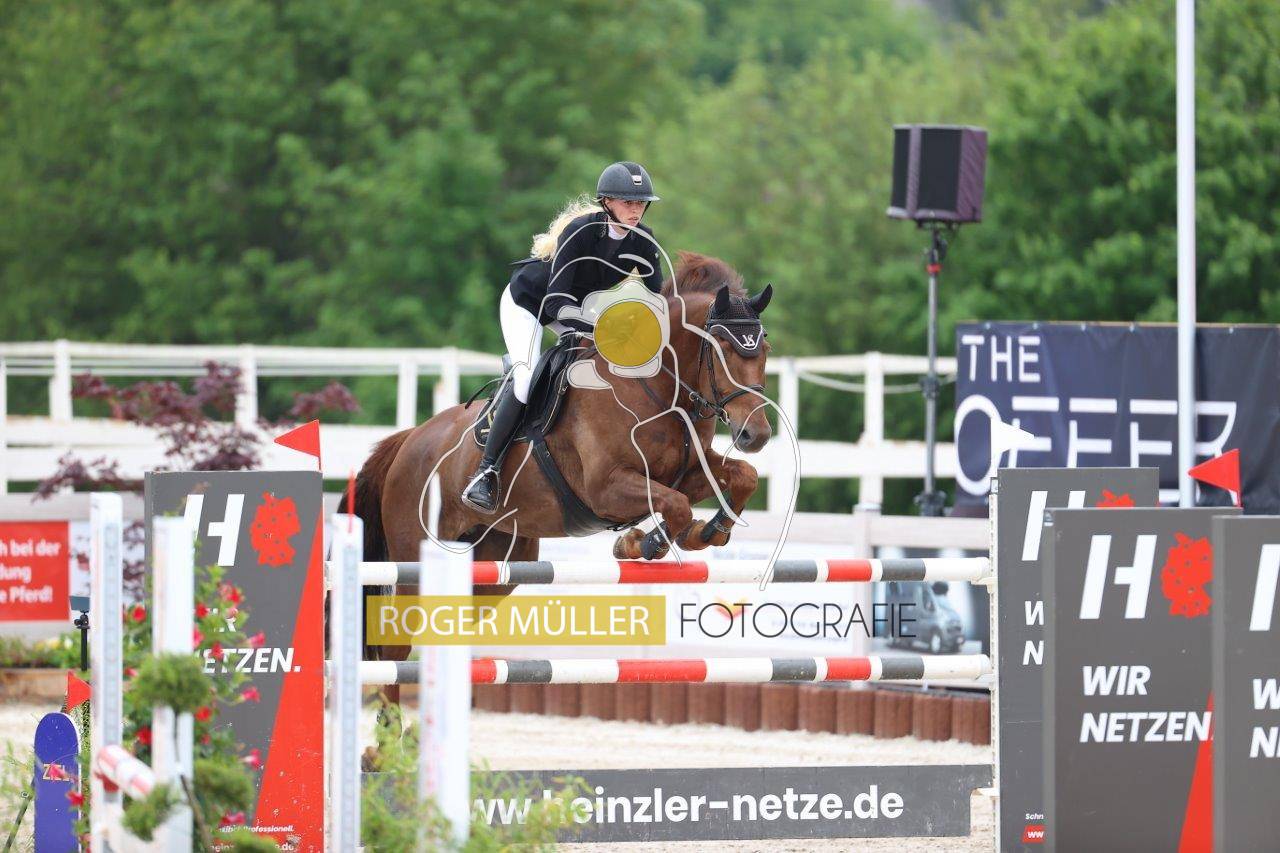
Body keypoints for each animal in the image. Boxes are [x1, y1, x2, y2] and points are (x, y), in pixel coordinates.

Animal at [343, 251, 774, 703]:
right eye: (721, 348)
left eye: (764, 349)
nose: (756, 434)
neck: (657, 386)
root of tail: (408, 441)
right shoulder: (605, 488)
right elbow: (675, 505)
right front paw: (646, 542)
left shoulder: (687, 471)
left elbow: (742, 477)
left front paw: (707, 532)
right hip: (414, 555)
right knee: (395, 647)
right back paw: (392, 725)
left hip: (498, 562)